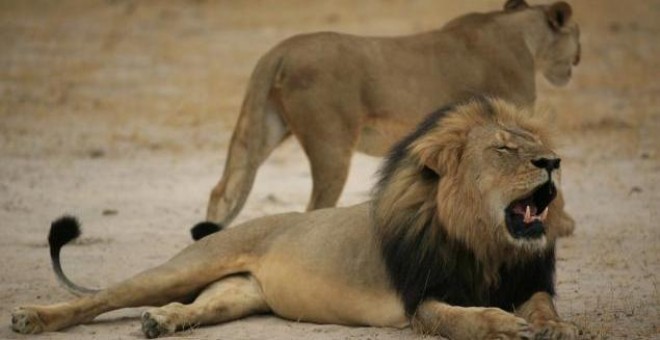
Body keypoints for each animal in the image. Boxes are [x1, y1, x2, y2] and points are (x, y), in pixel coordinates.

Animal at [10, 97, 576, 338]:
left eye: (538, 144)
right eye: (505, 149)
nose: (553, 161)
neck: (486, 244)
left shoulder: (526, 280)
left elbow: (544, 304)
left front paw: (555, 327)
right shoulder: (421, 300)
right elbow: (465, 319)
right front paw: (505, 326)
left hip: (237, 294)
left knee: (195, 305)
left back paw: (162, 321)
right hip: (186, 265)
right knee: (103, 298)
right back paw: (32, 318)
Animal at [204, 0, 580, 236]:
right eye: (577, 34)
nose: (577, 58)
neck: (523, 36)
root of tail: (278, 51)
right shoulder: (510, 121)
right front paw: (560, 223)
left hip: (263, 127)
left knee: (223, 189)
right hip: (331, 145)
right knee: (314, 207)